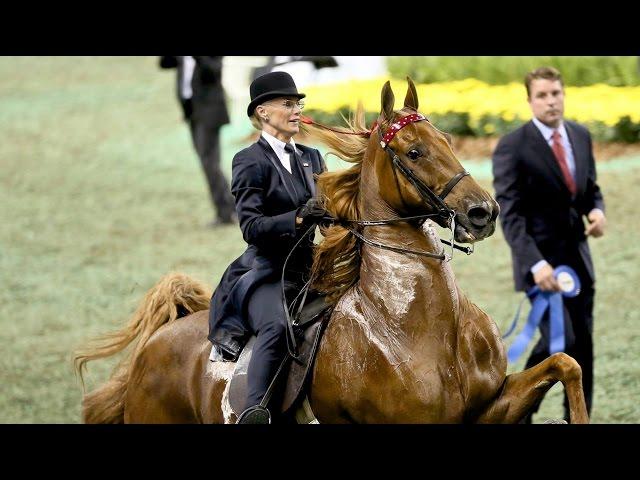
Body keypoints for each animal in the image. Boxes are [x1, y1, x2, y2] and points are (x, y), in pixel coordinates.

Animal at [75, 77, 592, 422]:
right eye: (414, 152)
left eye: (447, 139)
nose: (484, 212)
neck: (415, 325)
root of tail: (155, 343)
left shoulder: (485, 408)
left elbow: (565, 363)